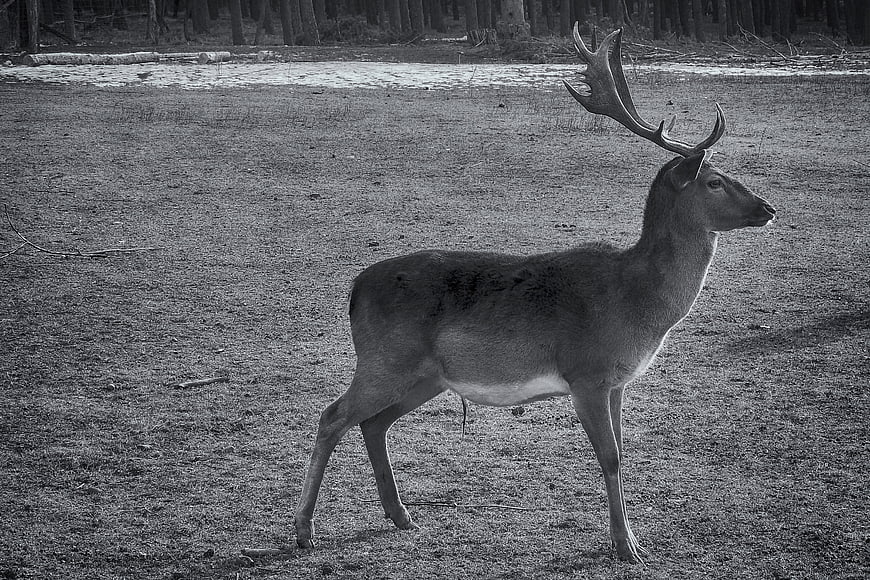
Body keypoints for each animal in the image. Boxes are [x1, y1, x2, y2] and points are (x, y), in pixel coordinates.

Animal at [285, 26, 777, 564]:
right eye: (714, 181)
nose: (768, 208)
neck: (636, 303)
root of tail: (354, 289)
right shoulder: (586, 373)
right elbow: (610, 456)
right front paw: (626, 545)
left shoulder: (618, 381)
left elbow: (623, 450)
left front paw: (630, 538)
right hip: (384, 360)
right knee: (333, 416)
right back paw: (304, 530)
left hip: (425, 375)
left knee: (374, 424)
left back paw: (401, 515)